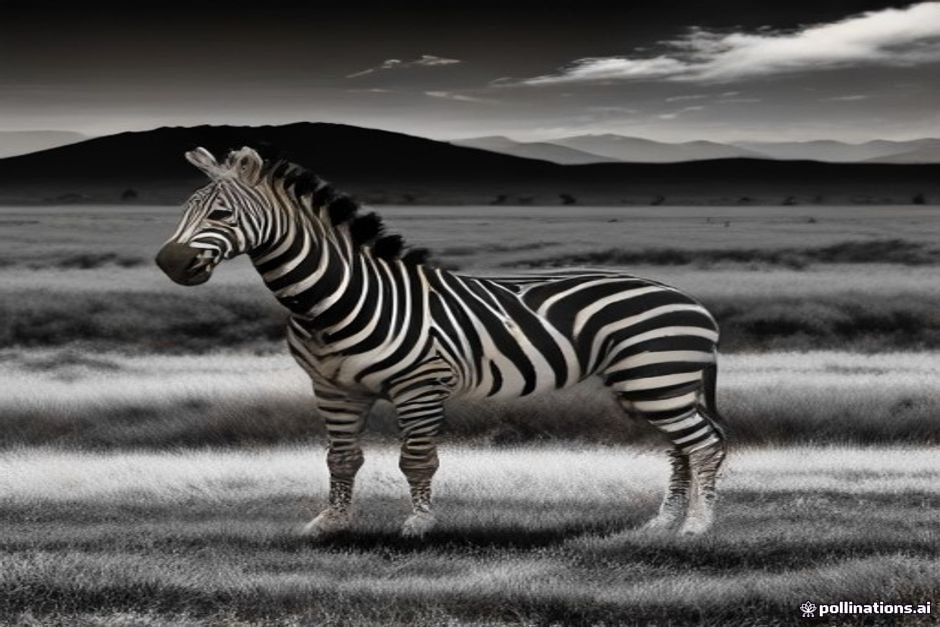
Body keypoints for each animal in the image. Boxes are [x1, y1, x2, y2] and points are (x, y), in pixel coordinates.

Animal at [156, 146, 727, 538]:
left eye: (221, 214)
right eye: (184, 208)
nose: (168, 263)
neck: (328, 301)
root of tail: (694, 302)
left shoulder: (421, 384)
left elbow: (417, 460)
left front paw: (419, 525)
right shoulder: (334, 389)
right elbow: (341, 459)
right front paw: (331, 524)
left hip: (658, 378)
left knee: (704, 444)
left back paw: (696, 527)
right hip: (650, 385)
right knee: (681, 448)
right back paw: (662, 526)